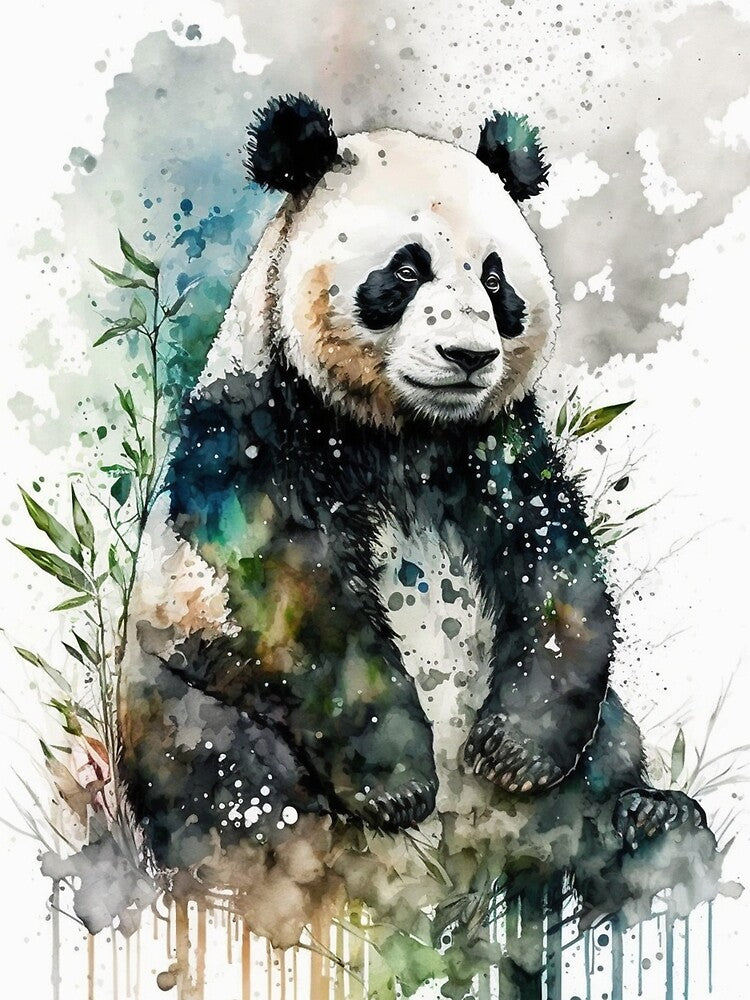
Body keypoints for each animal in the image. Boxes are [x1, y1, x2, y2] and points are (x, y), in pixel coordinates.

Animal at [119, 95, 713, 945]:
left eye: (496, 279)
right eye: (406, 270)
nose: (468, 356)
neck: (403, 433)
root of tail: (451, 891)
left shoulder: (497, 447)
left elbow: (559, 567)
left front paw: (513, 753)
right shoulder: (251, 433)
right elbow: (290, 595)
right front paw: (399, 781)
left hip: (591, 768)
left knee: (606, 808)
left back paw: (648, 833)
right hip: (199, 713)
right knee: (240, 803)